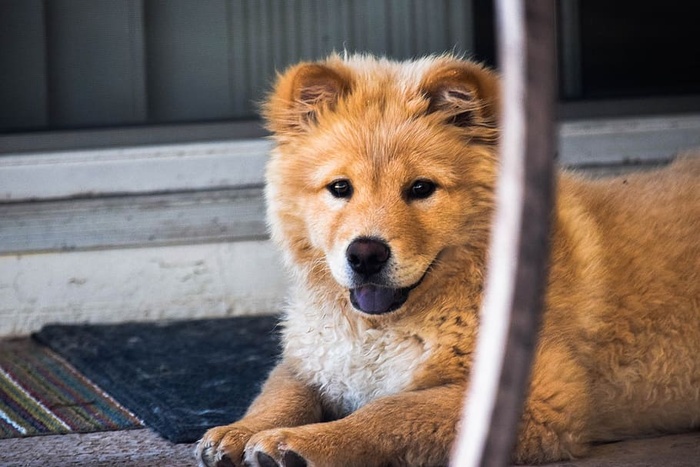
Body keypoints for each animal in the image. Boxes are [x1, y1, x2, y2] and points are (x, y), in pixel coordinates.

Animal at [197, 53, 700, 466]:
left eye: (421, 189)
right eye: (340, 188)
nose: (365, 254)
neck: (380, 331)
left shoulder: (536, 397)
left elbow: (392, 410)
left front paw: (304, 443)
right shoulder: (314, 356)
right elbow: (280, 391)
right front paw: (238, 432)